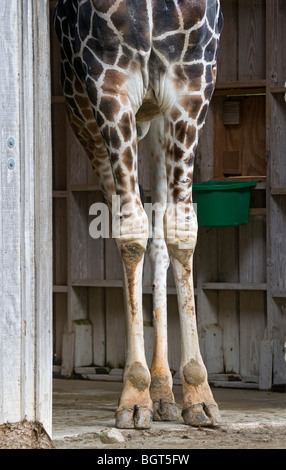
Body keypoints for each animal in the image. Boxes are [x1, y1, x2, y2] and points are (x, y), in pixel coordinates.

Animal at [53, 0, 223, 430]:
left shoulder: (192, 83)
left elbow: (181, 230)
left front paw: (199, 394)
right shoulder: (108, 84)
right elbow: (129, 232)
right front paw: (132, 394)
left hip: (158, 119)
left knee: (160, 238)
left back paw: (163, 392)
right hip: (86, 119)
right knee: (126, 224)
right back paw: (150, 391)